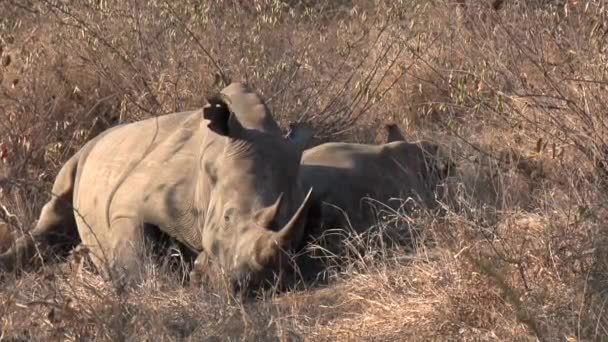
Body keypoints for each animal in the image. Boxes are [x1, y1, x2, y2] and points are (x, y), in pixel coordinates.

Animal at [0, 83, 314, 292]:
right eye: (227, 217)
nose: (251, 284)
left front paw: (196, 273)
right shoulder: (129, 206)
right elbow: (136, 258)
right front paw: (122, 281)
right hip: (85, 150)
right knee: (56, 209)